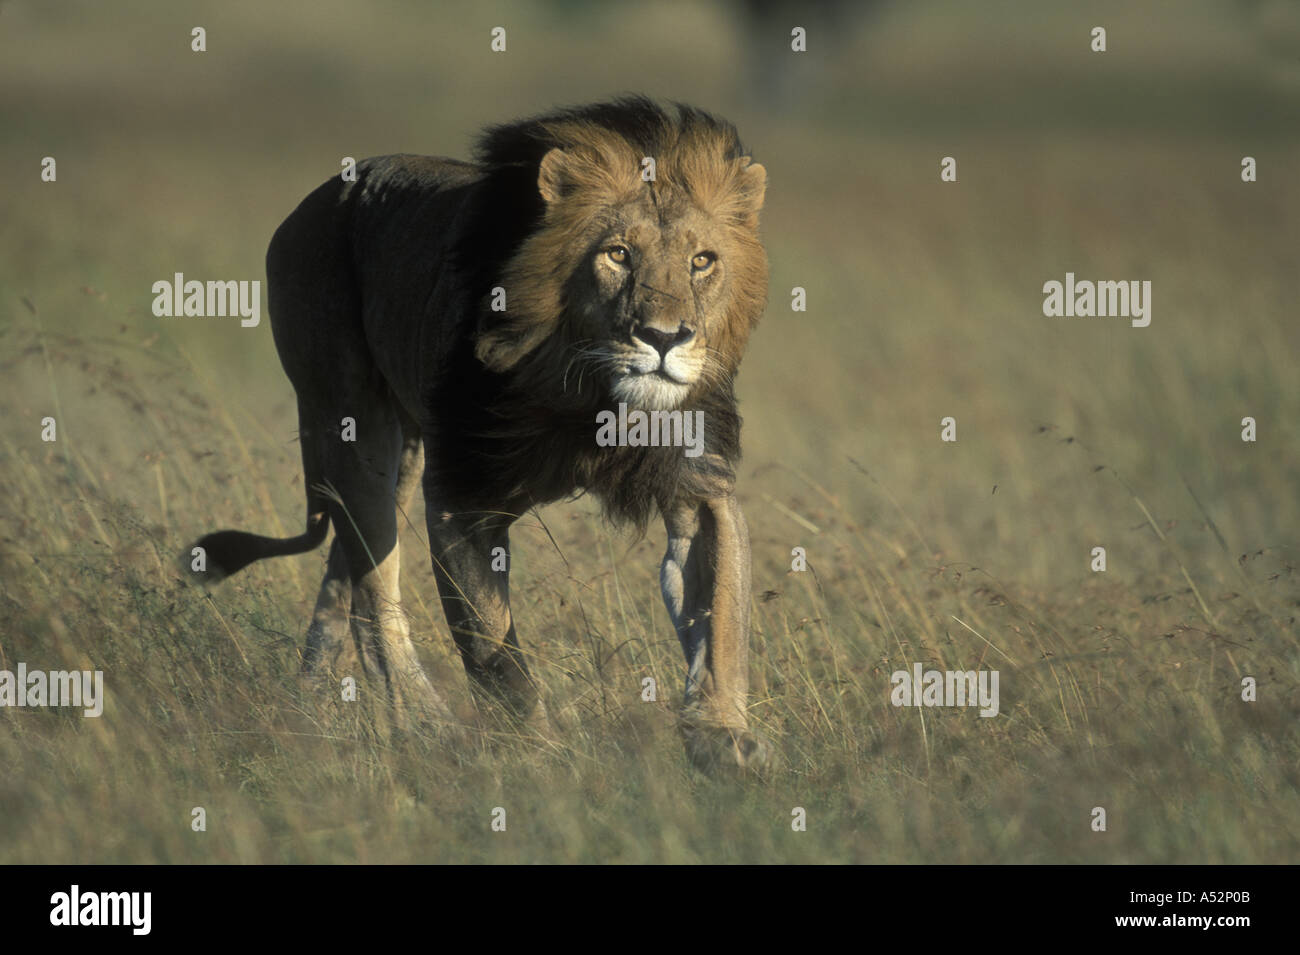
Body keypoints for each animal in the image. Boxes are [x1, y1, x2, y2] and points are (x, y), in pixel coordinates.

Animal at [188, 97, 770, 771]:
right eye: (619, 254)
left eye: (703, 261)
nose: (665, 337)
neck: (591, 395)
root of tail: (320, 196)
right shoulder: (462, 499)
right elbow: (494, 652)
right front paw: (544, 760)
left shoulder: (697, 485)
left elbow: (722, 614)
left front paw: (720, 735)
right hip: (351, 424)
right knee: (374, 587)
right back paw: (424, 724)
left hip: (405, 449)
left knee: (347, 580)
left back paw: (309, 709)